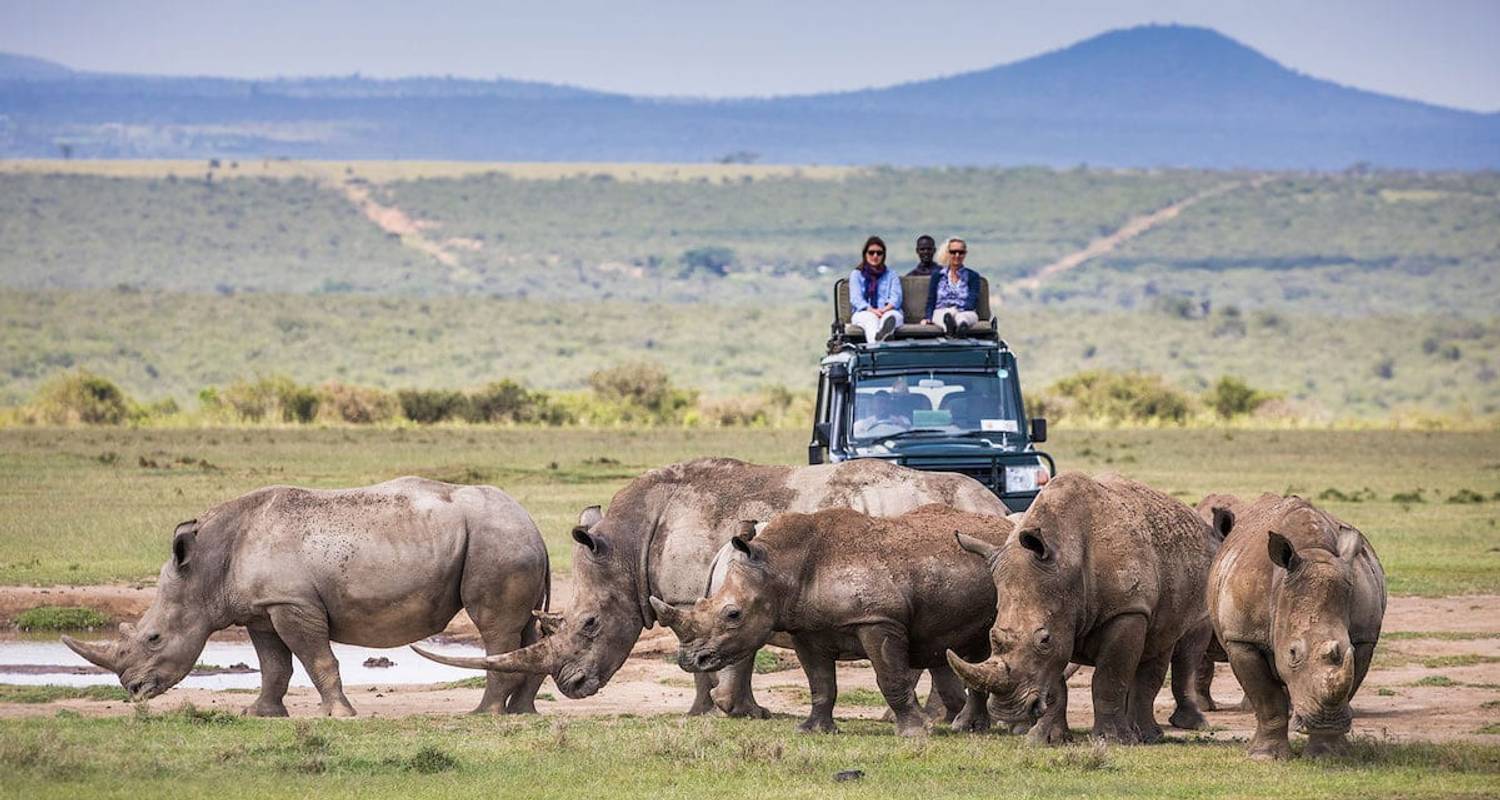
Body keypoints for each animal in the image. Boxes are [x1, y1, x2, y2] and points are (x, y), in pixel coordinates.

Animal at [64, 477, 549, 714]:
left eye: (154, 639)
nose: (132, 690)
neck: (206, 571)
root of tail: (532, 523)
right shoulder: (261, 608)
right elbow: (274, 665)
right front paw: (260, 714)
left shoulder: (291, 604)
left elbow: (317, 659)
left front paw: (339, 715)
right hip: (505, 539)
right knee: (526, 633)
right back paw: (521, 714)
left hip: (497, 541)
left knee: (495, 629)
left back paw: (483, 715)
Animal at [654, 504, 1014, 735]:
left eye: (733, 614)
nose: (688, 660)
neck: (780, 566)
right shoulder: (804, 629)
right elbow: (820, 682)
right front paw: (813, 730)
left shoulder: (878, 620)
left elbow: (891, 678)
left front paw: (914, 734)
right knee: (976, 649)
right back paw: (970, 728)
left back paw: (968, 727)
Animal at [948, 474, 1218, 741]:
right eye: (992, 635)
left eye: (1044, 640)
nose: (1008, 711)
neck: (1066, 562)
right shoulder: (1058, 617)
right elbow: (1056, 682)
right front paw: (1046, 739)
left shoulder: (1126, 609)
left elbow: (1108, 678)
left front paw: (1111, 739)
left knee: (1160, 646)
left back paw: (1147, 737)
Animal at [1200, 489, 1386, 756]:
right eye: (1292, 653)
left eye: (1349, 647)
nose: (1326, 721)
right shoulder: (1242, 638)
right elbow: (1268, 700)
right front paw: (1265, 757)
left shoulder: (1364, 638)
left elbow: (1349, 682)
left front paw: (1328, 753)